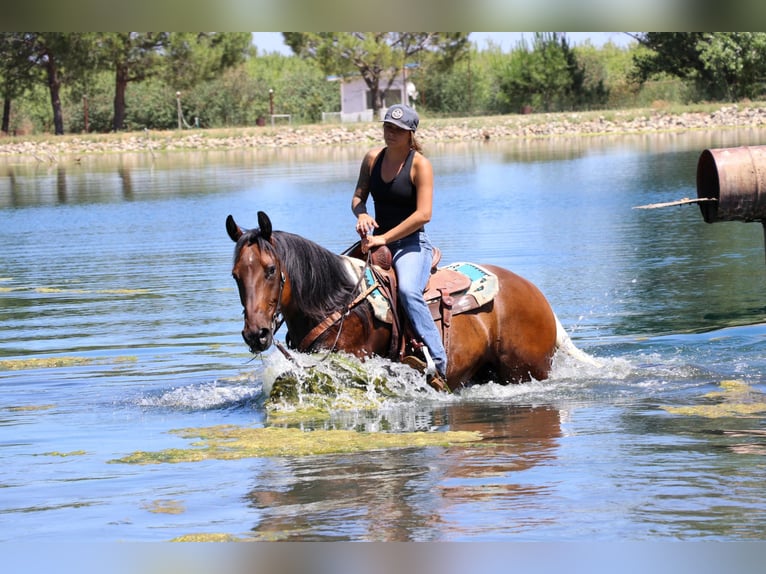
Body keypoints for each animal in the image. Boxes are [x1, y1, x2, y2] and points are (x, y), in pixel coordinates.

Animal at [226, 211, 594, 392]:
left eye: (271, 270)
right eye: (235, 275)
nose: (256, 334)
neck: (336, 301)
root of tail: (537, 294)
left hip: (526, 372)